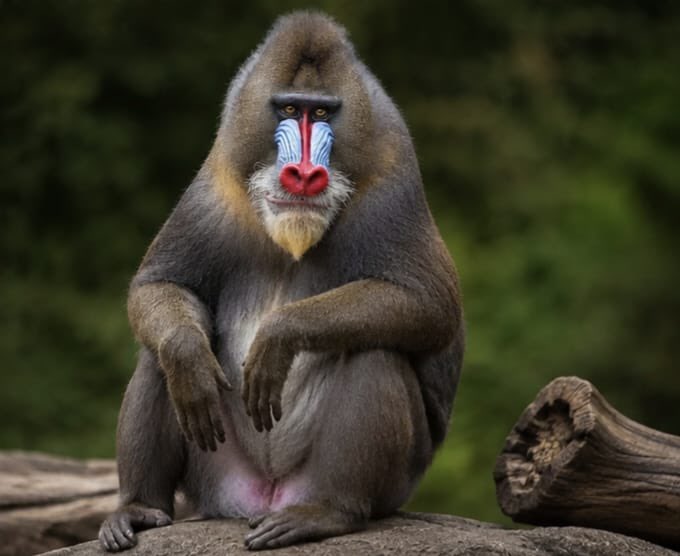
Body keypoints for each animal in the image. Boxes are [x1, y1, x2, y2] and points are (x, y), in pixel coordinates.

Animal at [98, 11, 464, 552]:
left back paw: (325, 513)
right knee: (159, 354)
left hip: (388, 482)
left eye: (324, 113)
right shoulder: (216, 190)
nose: (303, 175)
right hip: (213, 474)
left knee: (376, 351)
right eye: (290, 108)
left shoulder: (391, 189)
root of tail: (265, 496)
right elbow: (162, 286)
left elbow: (428, 305)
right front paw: (189, 356)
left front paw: (278, 337)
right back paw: (138, 510)